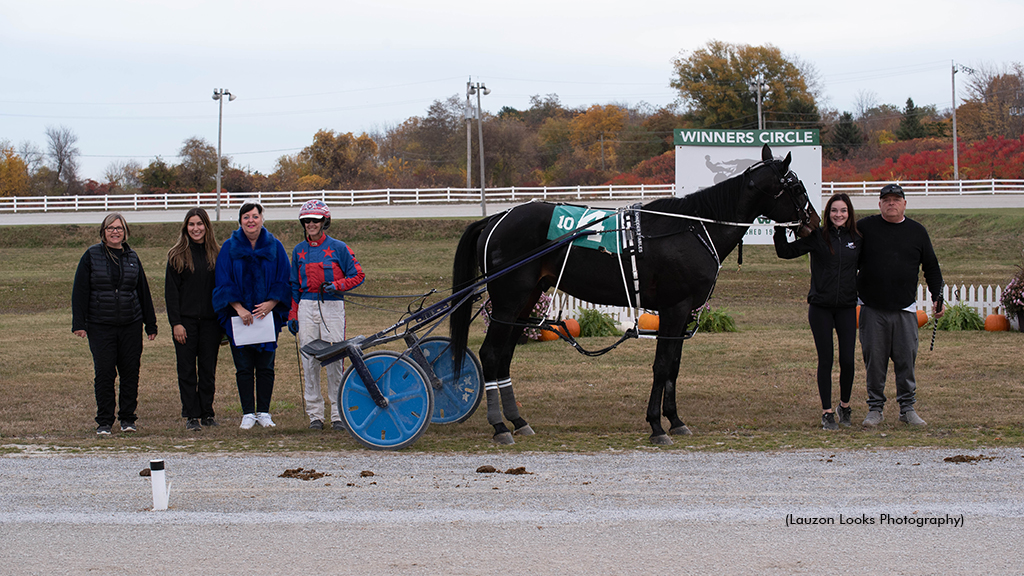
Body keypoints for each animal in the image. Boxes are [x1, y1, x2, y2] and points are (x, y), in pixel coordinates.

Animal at [452, 143, 819, 444]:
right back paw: (499, 426)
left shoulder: (683, 313)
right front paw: (657, 425)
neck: (693, 228)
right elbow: (662, 365)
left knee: (504, 356)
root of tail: (497, 218)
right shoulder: (674, 308)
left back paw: (517, 421)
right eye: (796, 187)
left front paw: (675, 420)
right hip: (508, 300)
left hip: (524, 302)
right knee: (490, 354)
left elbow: (674, 366)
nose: (813, 222)